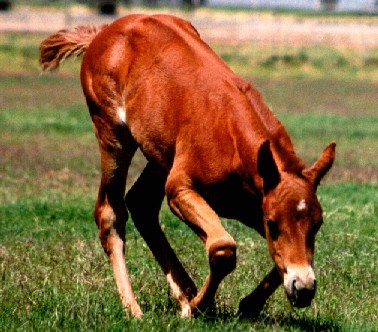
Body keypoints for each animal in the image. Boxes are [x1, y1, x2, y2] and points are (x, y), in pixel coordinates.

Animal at [39, 14, 336, 318]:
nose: (304, 289)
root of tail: (102, 33)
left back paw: (184, 291)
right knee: (110, 213)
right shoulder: (181, 189)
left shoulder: (256, 203)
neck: (231, 137)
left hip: (160, 156)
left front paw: (246, 304)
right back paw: (135, 308)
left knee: (141, 204)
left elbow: (280, 261)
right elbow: (222, 249)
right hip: (112, 135)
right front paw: (197, 307)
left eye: (317, 224)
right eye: (273, 224)